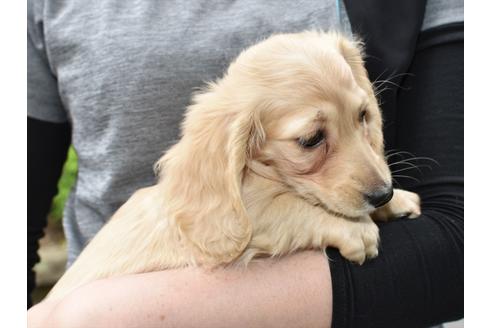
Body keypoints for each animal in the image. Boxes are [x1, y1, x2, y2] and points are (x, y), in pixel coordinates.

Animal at [48, 32, 420, 302]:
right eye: (311, 139)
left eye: (363, 115)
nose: (383, 194)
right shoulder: (250, 216)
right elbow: (289, 207)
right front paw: (356, 230)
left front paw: (398, 201)